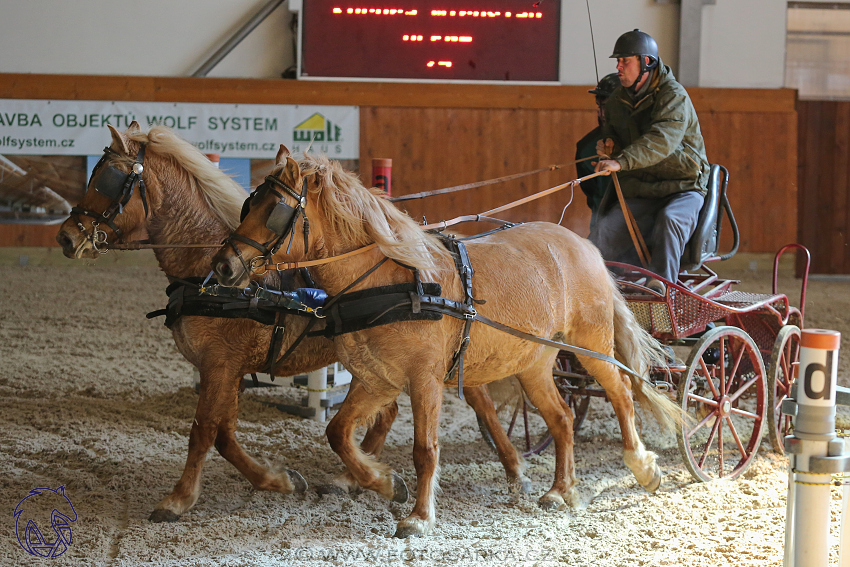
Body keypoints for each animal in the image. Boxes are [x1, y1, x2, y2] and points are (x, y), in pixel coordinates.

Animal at [56, 125, 528, 524]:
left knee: (481, 404)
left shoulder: (220, 364)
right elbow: (225, 434)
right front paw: (278, 480)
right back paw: (358, 478)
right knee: (390, 413)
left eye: (105, 180)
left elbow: (203, 431)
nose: (65, 236)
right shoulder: (229, 368)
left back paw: (513, 470)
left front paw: (178, 499)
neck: (206, 274)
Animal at [212, 149, 684, 540]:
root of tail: (583, 245)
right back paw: (559, 489)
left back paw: (641, 466)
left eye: (274, 211)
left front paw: (419, 517)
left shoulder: (424, 380)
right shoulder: (376, 379)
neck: (394, 280)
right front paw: (385, 483)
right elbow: (339, 433)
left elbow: (425, 450)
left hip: (591, 345)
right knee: (562, 418)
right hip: (534, 363)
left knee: (621, 393)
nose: (223, 265)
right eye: (248, 204)